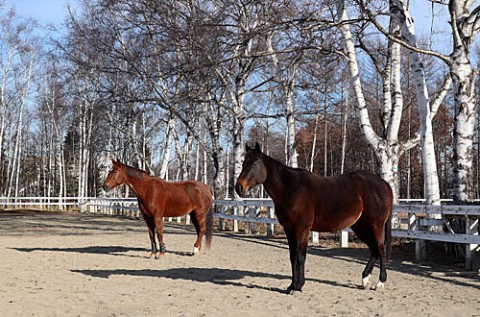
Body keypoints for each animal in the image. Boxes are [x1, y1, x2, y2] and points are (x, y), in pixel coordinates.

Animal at [234, 143, 392, 294]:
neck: (290, 189)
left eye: (255, 163)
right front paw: (291, 286)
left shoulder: (302, 229)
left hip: (375, 225)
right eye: (243, 163)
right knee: (374, 249)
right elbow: (292, 256)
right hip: (361, 226)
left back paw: (380, 283)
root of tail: (385, 184)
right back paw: (365, 280)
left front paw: (298, 287)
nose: (239, 187)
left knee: (381, 249)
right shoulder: (289, 229)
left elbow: (300, 256)